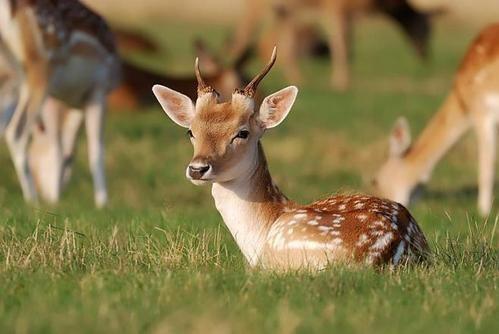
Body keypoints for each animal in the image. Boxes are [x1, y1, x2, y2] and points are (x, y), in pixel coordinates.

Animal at [0, 0, 120, 207]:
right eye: (70, 160)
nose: (51, 194)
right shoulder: (98, 90)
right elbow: (95, 149)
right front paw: (103, 203)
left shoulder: (72, 101)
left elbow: (63, 143)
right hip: (40, 69)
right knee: (16, 132)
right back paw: (32, 200)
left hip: (11, 78)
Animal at [229, 0, 432, 90]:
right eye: (426, 29)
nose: (425, 55)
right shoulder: (336, 9)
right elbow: (341, 45)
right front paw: (341, 82)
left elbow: (347, 47)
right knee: (243, 36)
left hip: (283, 10)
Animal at [374, 22, 499, 217]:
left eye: (376, 180)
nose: (380, 202)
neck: (462, 102)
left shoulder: (482, 110)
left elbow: (486, 164)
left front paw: (483, 212)